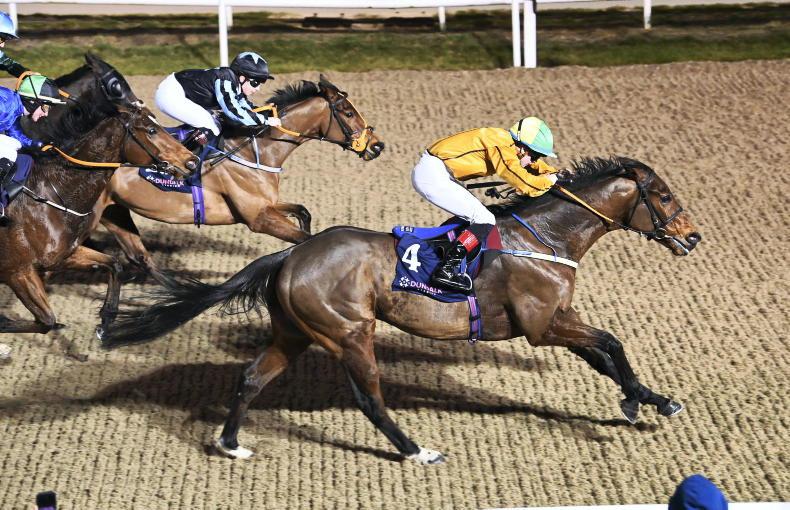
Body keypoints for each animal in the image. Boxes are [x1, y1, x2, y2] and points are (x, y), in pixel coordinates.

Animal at [1, 54, 198, 348]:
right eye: (151, 130)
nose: (191, 161)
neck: (51, 193)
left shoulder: (62, 256)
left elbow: (114, 263)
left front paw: (106, 320)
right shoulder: (17, 271)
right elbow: (46, 320)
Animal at [54, 72, 384, 277]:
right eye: (348, 112)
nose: (377, 146)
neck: (254, 150)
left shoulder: (265, 205)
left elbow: (302, 211)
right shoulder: (258, 218)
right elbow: (305, 237)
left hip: (114, 211)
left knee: (140, 257)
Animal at [101, 156, 702, 464]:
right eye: (664, 197)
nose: (693, 237)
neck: (546, 238)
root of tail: (291, 255)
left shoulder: (556, 321)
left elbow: (604, 354)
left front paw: (651, 400)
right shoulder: (542, 325)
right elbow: (609, 343)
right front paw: (641, 401)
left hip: (294, 332)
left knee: (251, 378)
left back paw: (230, 443)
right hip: (349, 332)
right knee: (370, 398)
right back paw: (416, 450)